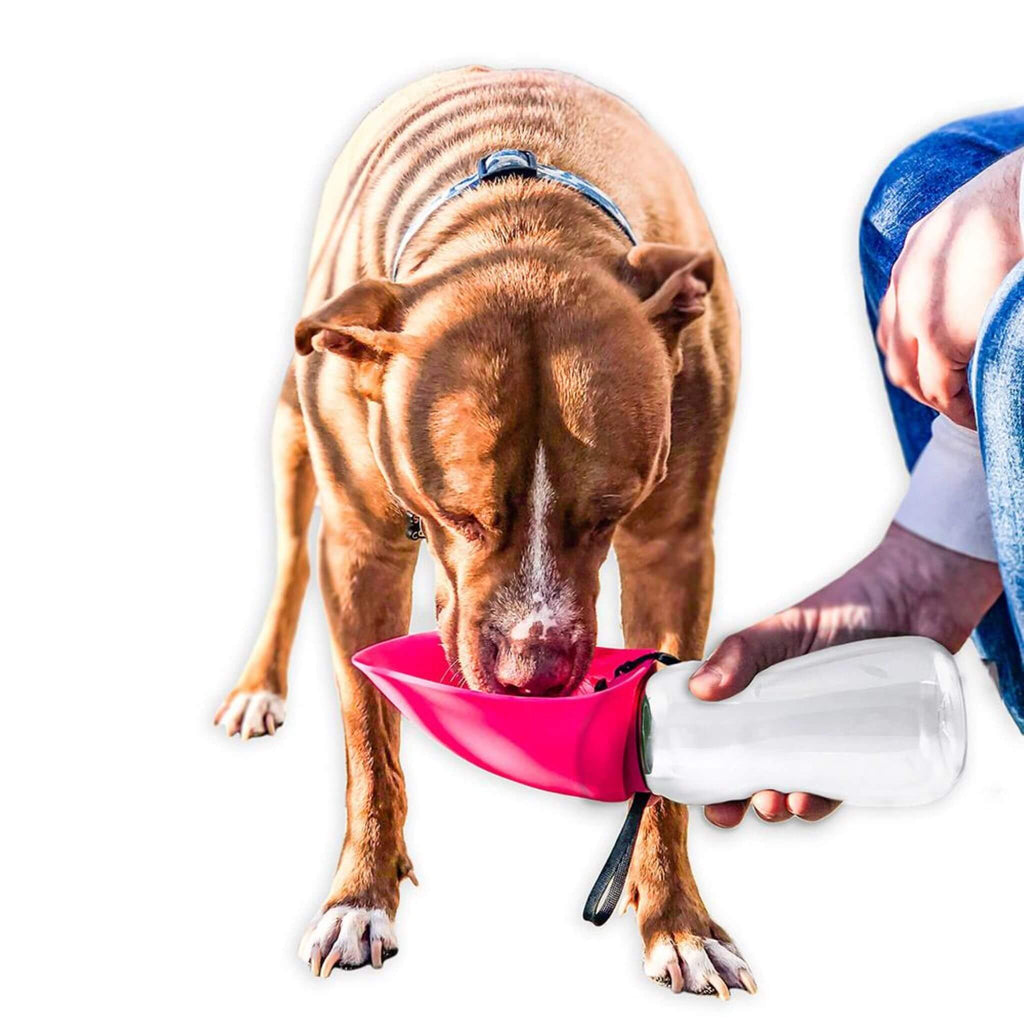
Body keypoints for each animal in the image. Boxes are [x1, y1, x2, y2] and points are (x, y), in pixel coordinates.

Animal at [216, 68, 749, 995]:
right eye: (457, 512)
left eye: (610, 512)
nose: (533, 678)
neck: (518, 220)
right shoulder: (358, 546)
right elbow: (369, 739)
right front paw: (361, 899)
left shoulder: (673, 549)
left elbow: (662, 771)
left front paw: (678, 923)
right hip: (293, 435)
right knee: (286, 562)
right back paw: (259, 689)